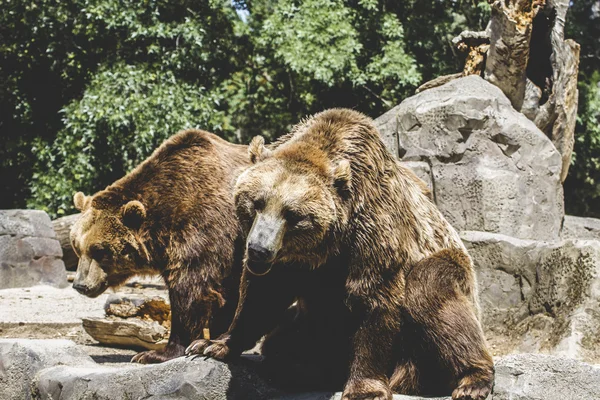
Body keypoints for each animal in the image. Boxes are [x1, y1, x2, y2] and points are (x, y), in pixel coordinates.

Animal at [70, 130, 248, 364]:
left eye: (99, 250)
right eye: (77, 246)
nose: (80, 285)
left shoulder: (206, 230)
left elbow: (192, 290)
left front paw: (155, 353)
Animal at [189, 109, 496, 400]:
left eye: (294, 215)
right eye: (256, 203)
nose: (258, 250)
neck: (327, 245)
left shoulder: (372, 230)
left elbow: (373, 297)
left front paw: (365, 389)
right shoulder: (295, 263)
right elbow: (262, 295)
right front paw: (211, 344)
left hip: (451, 275)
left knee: (432, 291)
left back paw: (472, 380)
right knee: (281, 343)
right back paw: (300, 368)